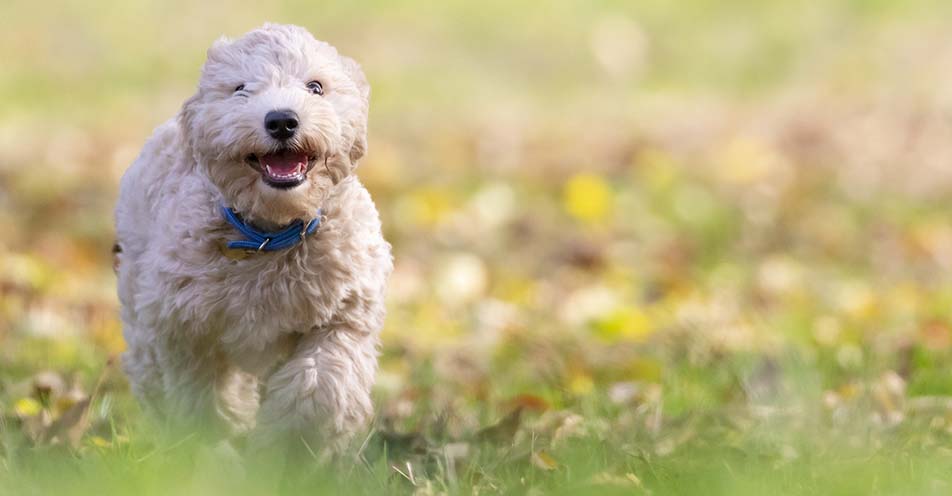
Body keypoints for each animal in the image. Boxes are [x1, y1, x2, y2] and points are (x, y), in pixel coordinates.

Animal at [114, 23, 390, 452]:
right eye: (240, 88)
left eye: (315, 87)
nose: (282, 121)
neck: (271, 234)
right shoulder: (185, 326)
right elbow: (203, 394)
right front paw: (215, 446)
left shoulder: (345, 313)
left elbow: (321, 383)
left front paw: (288, 449)